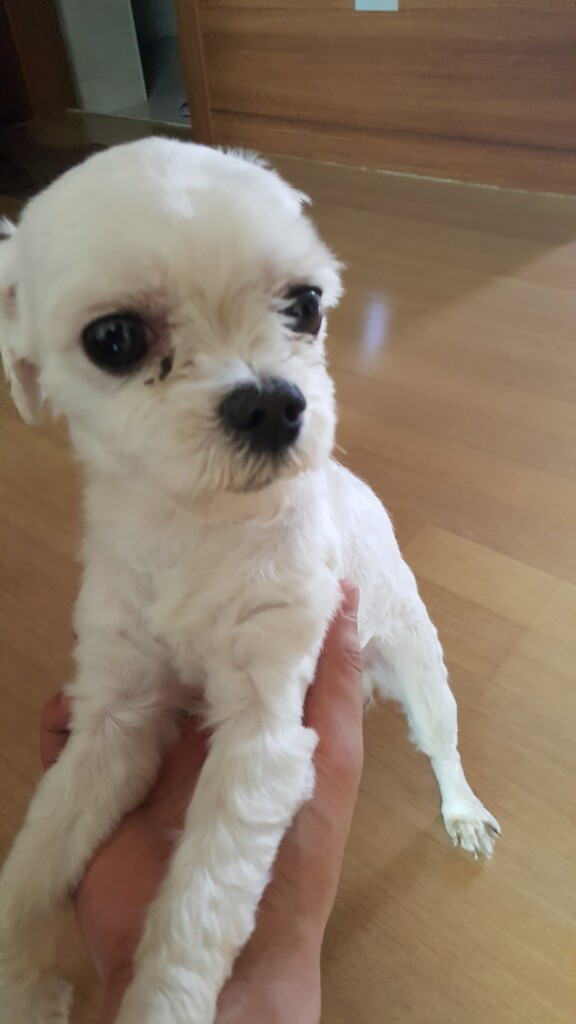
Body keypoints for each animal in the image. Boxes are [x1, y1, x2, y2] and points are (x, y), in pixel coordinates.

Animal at [0, 138, 500, 1023]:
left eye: (306, 305)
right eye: (115, 338)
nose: (273, 404)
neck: (193, 528)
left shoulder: (263, 732)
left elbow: (199, 904)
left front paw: (159, 1001)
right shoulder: (116, 717)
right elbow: (35, 861)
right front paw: (23, 982)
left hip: (420, 665)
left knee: (442, 743)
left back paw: (463, 809)